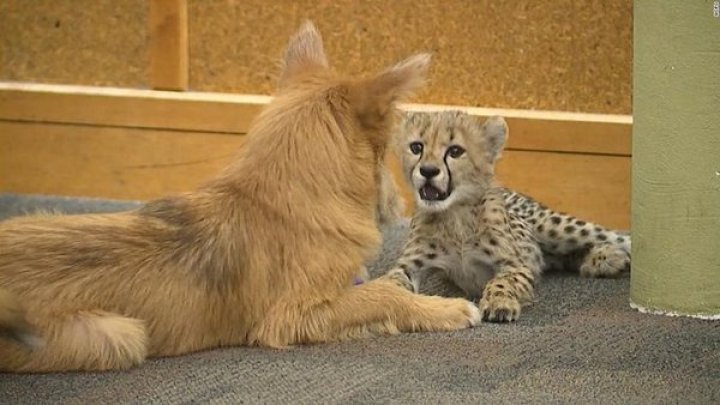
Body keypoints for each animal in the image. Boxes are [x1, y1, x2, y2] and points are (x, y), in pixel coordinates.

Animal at [1, 20, 484, 370]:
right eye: (389, 151)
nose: (401, 203)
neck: (277, 198)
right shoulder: (294, 316)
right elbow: (382, 295)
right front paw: (445, 308)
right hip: (119, 334)